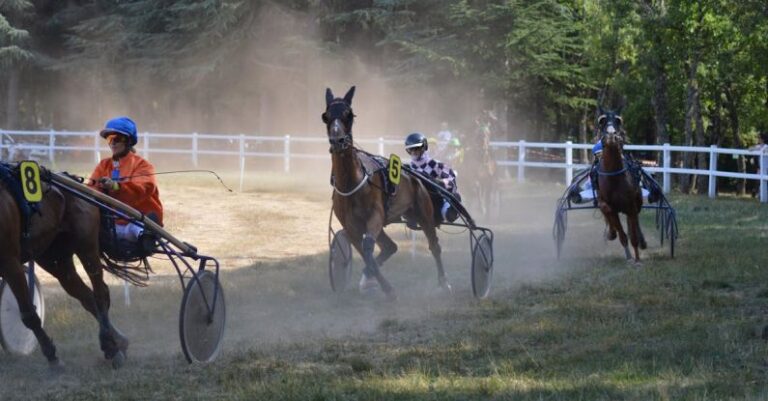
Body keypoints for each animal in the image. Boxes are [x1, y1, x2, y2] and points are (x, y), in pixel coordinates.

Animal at [0, 165, 128, 368]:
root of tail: (74, 180)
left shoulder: (9, 262)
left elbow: (29, 314)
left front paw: (53, 357)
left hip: (86, 245)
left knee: (100, 292)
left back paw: (111, 345)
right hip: (55, 258)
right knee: (87, 296)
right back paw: (116, 343)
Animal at [323, 86, 452, 300]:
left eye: (349, 114)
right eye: (325, 116)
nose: (338, 141)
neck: (352, 183)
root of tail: (415, 175)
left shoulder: (375, 216)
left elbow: (368, 248)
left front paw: (387, 288)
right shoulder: (351, 227)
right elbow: (364, 252)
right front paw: (372, 281)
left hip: (423, 213)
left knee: (434, 246)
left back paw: (444, 282)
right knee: (390, 246)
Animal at [595, 108, 647, 263]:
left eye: (618, 121)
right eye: (602, 121)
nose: (611, 135)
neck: (614, 176)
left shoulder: (631, 205)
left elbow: (633, 234)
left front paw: (637, 259)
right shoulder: (609, 205)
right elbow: (621, 233)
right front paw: (629, 256)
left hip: (636, 203)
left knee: (635, 223)